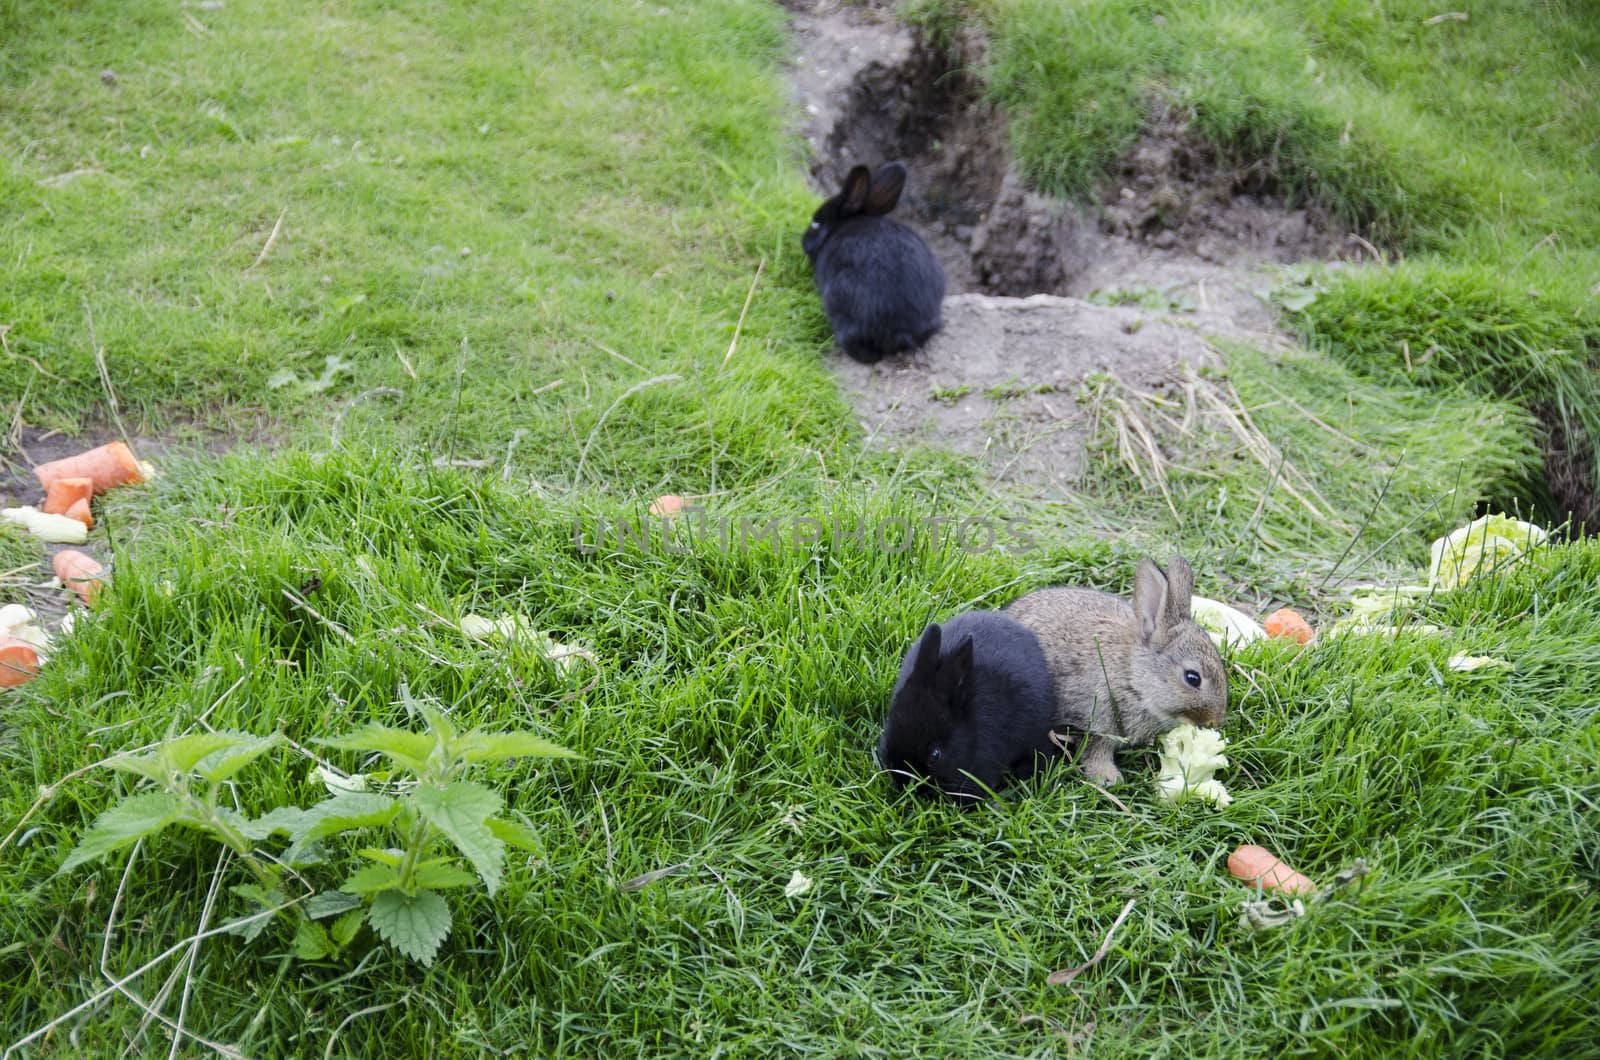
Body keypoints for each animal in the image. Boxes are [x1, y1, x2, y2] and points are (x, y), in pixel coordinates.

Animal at [1004, 557, 1228, 787]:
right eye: (1193, 678)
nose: (1214, 721)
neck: (1132, 675)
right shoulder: (1096, 717)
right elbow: (1095, 749)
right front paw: (1107, 777)